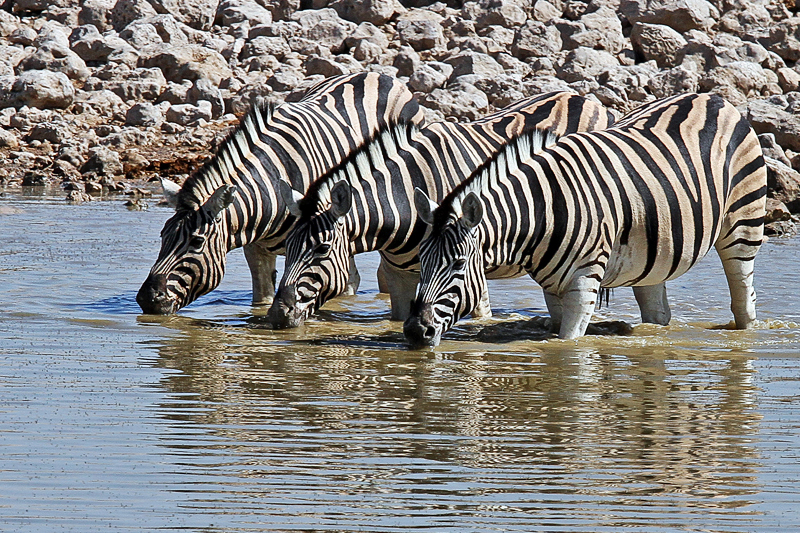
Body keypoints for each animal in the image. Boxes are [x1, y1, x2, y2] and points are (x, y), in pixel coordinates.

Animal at [137, 70, 424, 312]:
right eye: (162, 236)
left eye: (196, 242)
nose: (146, 300)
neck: (269, 187)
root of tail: (377, 74)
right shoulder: (257, 250)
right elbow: (263, 298)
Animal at [406, 92, 768, 344]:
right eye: (421, 262)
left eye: (458, 264)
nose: (413, 331)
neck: (543, 210)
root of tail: (713, 97)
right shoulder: (552, 286)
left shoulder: (585, 279)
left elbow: (570, 346)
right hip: (656, 247)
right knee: (657, 312)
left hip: (743, 224)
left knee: (744, 299)